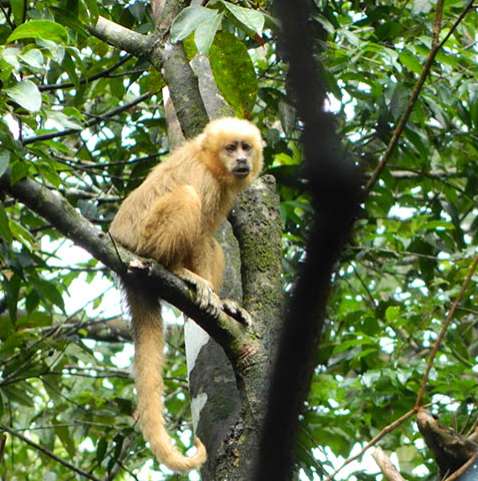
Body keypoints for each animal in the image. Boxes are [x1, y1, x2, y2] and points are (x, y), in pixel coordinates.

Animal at [109, 117, 264, 472]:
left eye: (245, 147)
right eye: (231, 147)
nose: (241, 160)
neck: (211, 163)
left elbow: (207, 240)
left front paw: (225, 306)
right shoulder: (203, 177)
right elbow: (198, 229)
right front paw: (200, 284)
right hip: (145, 241)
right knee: (188, 198)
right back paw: (175, 269)